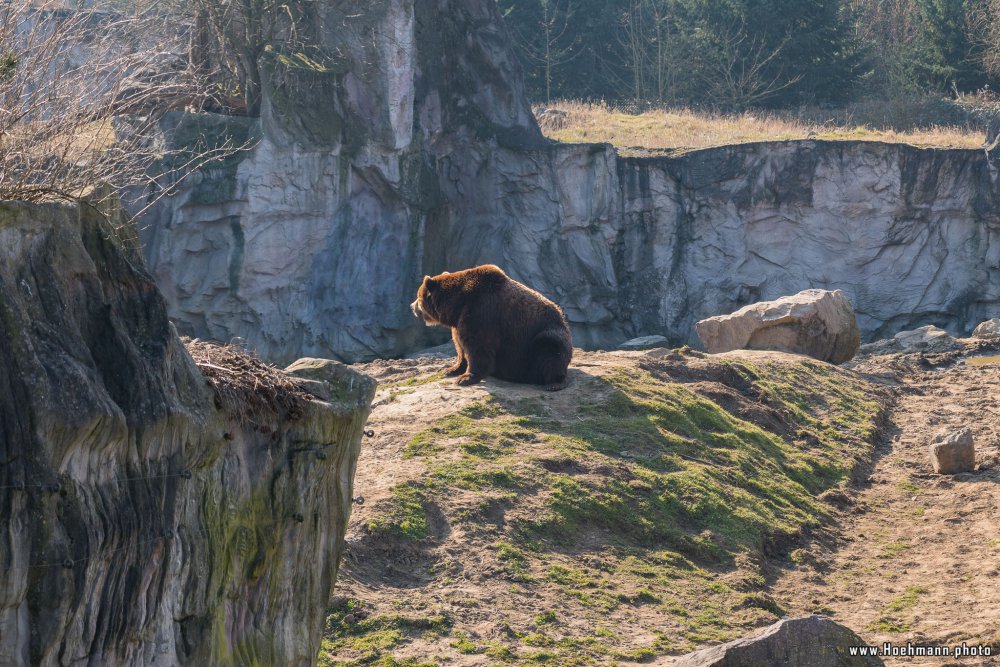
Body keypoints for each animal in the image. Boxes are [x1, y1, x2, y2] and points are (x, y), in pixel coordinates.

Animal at [408, 266, 572, 388]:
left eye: (417, 297)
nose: (411, 306)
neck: (457, 304)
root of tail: (563, 318)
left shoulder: (481, 311)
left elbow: (478, 346)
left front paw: (466, 378)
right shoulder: (460, 321)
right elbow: (460, 346)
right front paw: (452, 369)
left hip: (545, 336)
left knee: (549, 350)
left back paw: (554, 383)